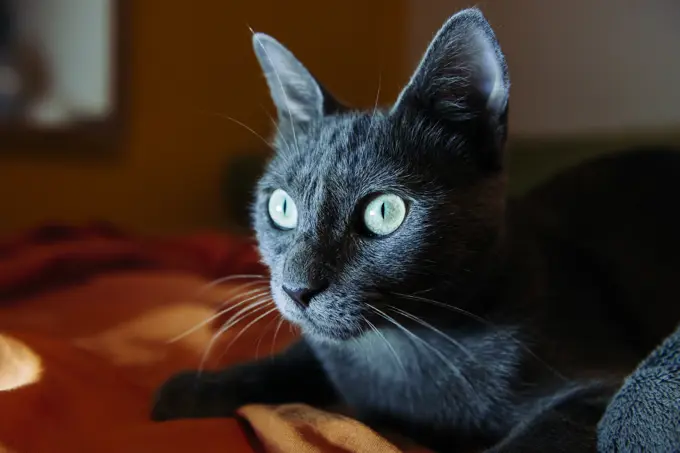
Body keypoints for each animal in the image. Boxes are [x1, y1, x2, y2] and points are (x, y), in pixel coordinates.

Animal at [150, 7, 680, 452]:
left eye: (385, 212)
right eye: (281, 207)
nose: (296, 288)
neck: (400, 350)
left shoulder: (597, 386)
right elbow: (301, 354)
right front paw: (195, 388)